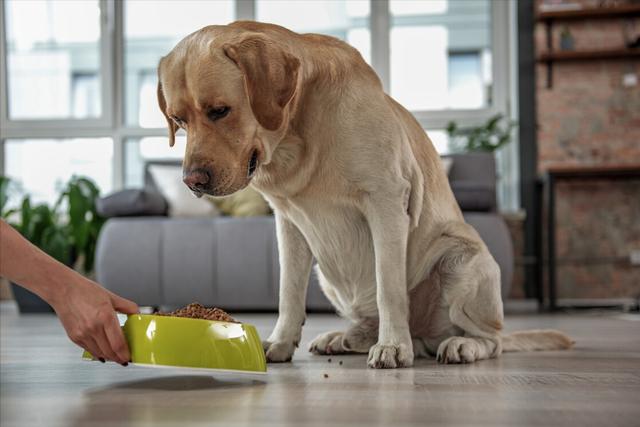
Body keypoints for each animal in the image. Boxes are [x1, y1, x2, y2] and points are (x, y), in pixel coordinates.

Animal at [158, 21, 572, 368]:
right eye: (178, 120)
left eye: (219, 111)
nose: (192, 181)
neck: (297, 138)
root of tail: (425, 336)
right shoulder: (289, 224)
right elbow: (287, 292)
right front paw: (279, 343)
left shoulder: (386, 204)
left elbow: (390, 287)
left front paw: (393, 347)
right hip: (326, 273)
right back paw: (345, 338)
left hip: (461, 259)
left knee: (492, 339)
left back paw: (457, 345)